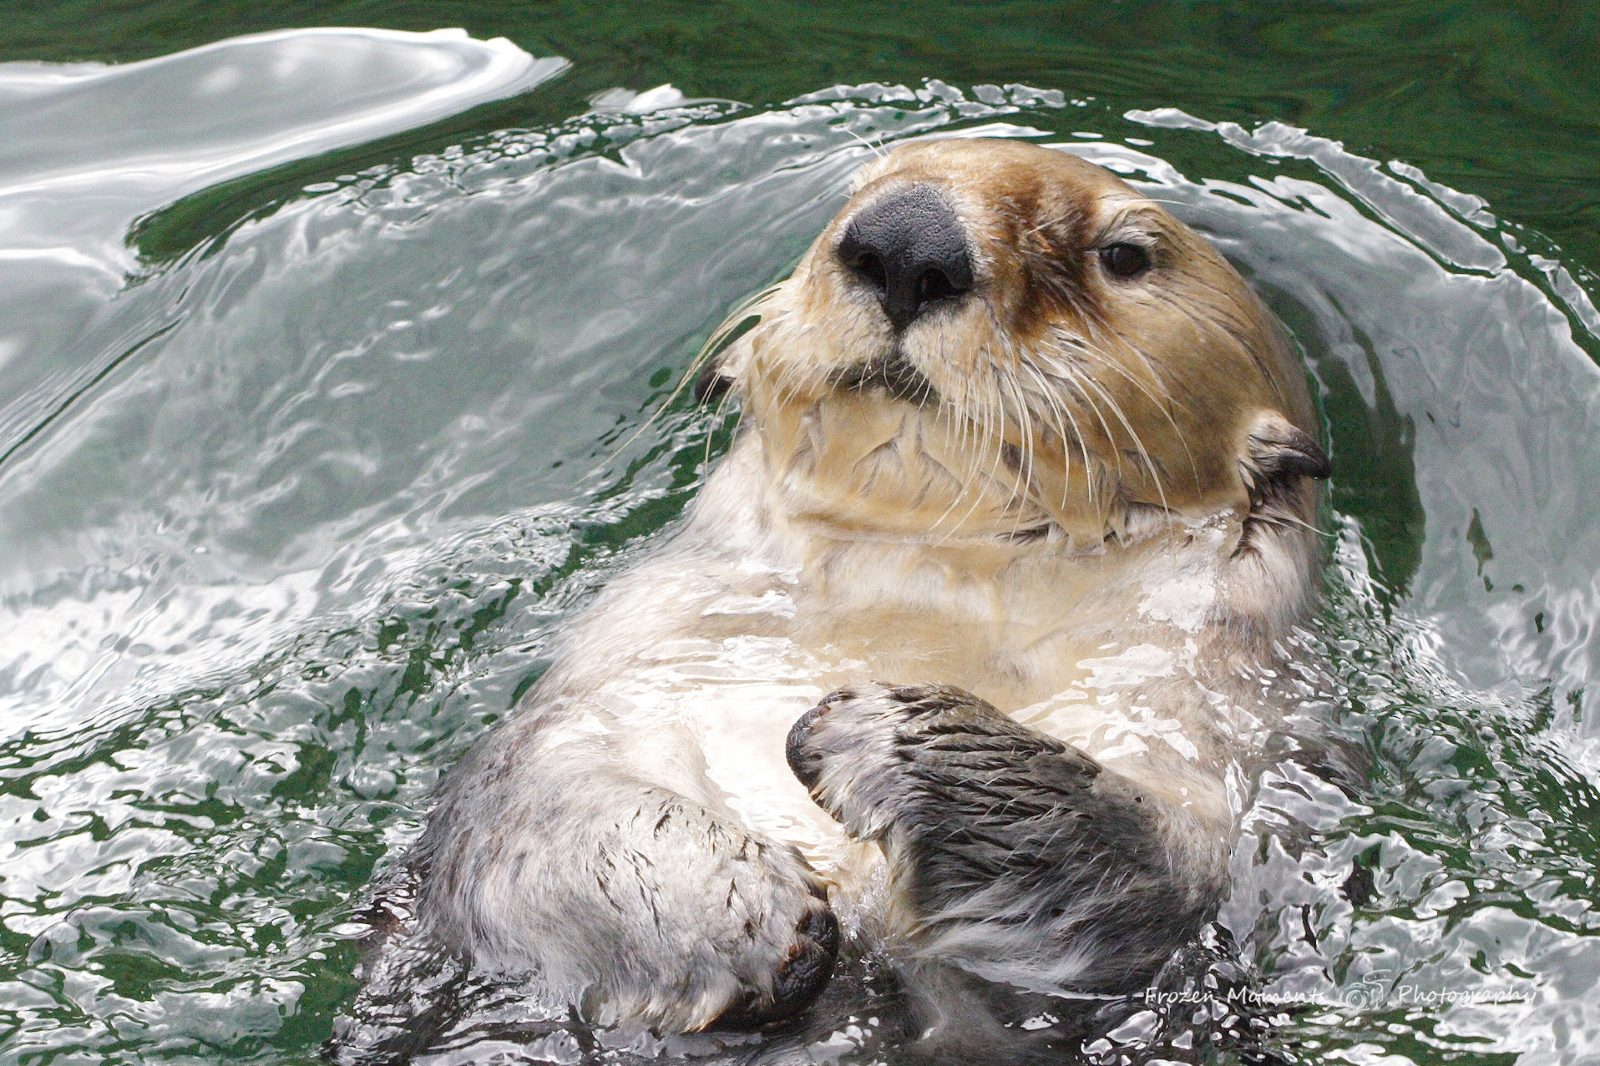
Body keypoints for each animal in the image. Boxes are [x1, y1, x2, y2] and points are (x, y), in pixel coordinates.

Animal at [405, 138, 1329, 1034]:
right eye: (861, 186)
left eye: (1125, 255)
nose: (907, 239)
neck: (930, 580)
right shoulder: (630, 663)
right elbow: (531, 804)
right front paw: (740, 913)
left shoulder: (1208, 735)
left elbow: (1148, 865)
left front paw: (890, 738)